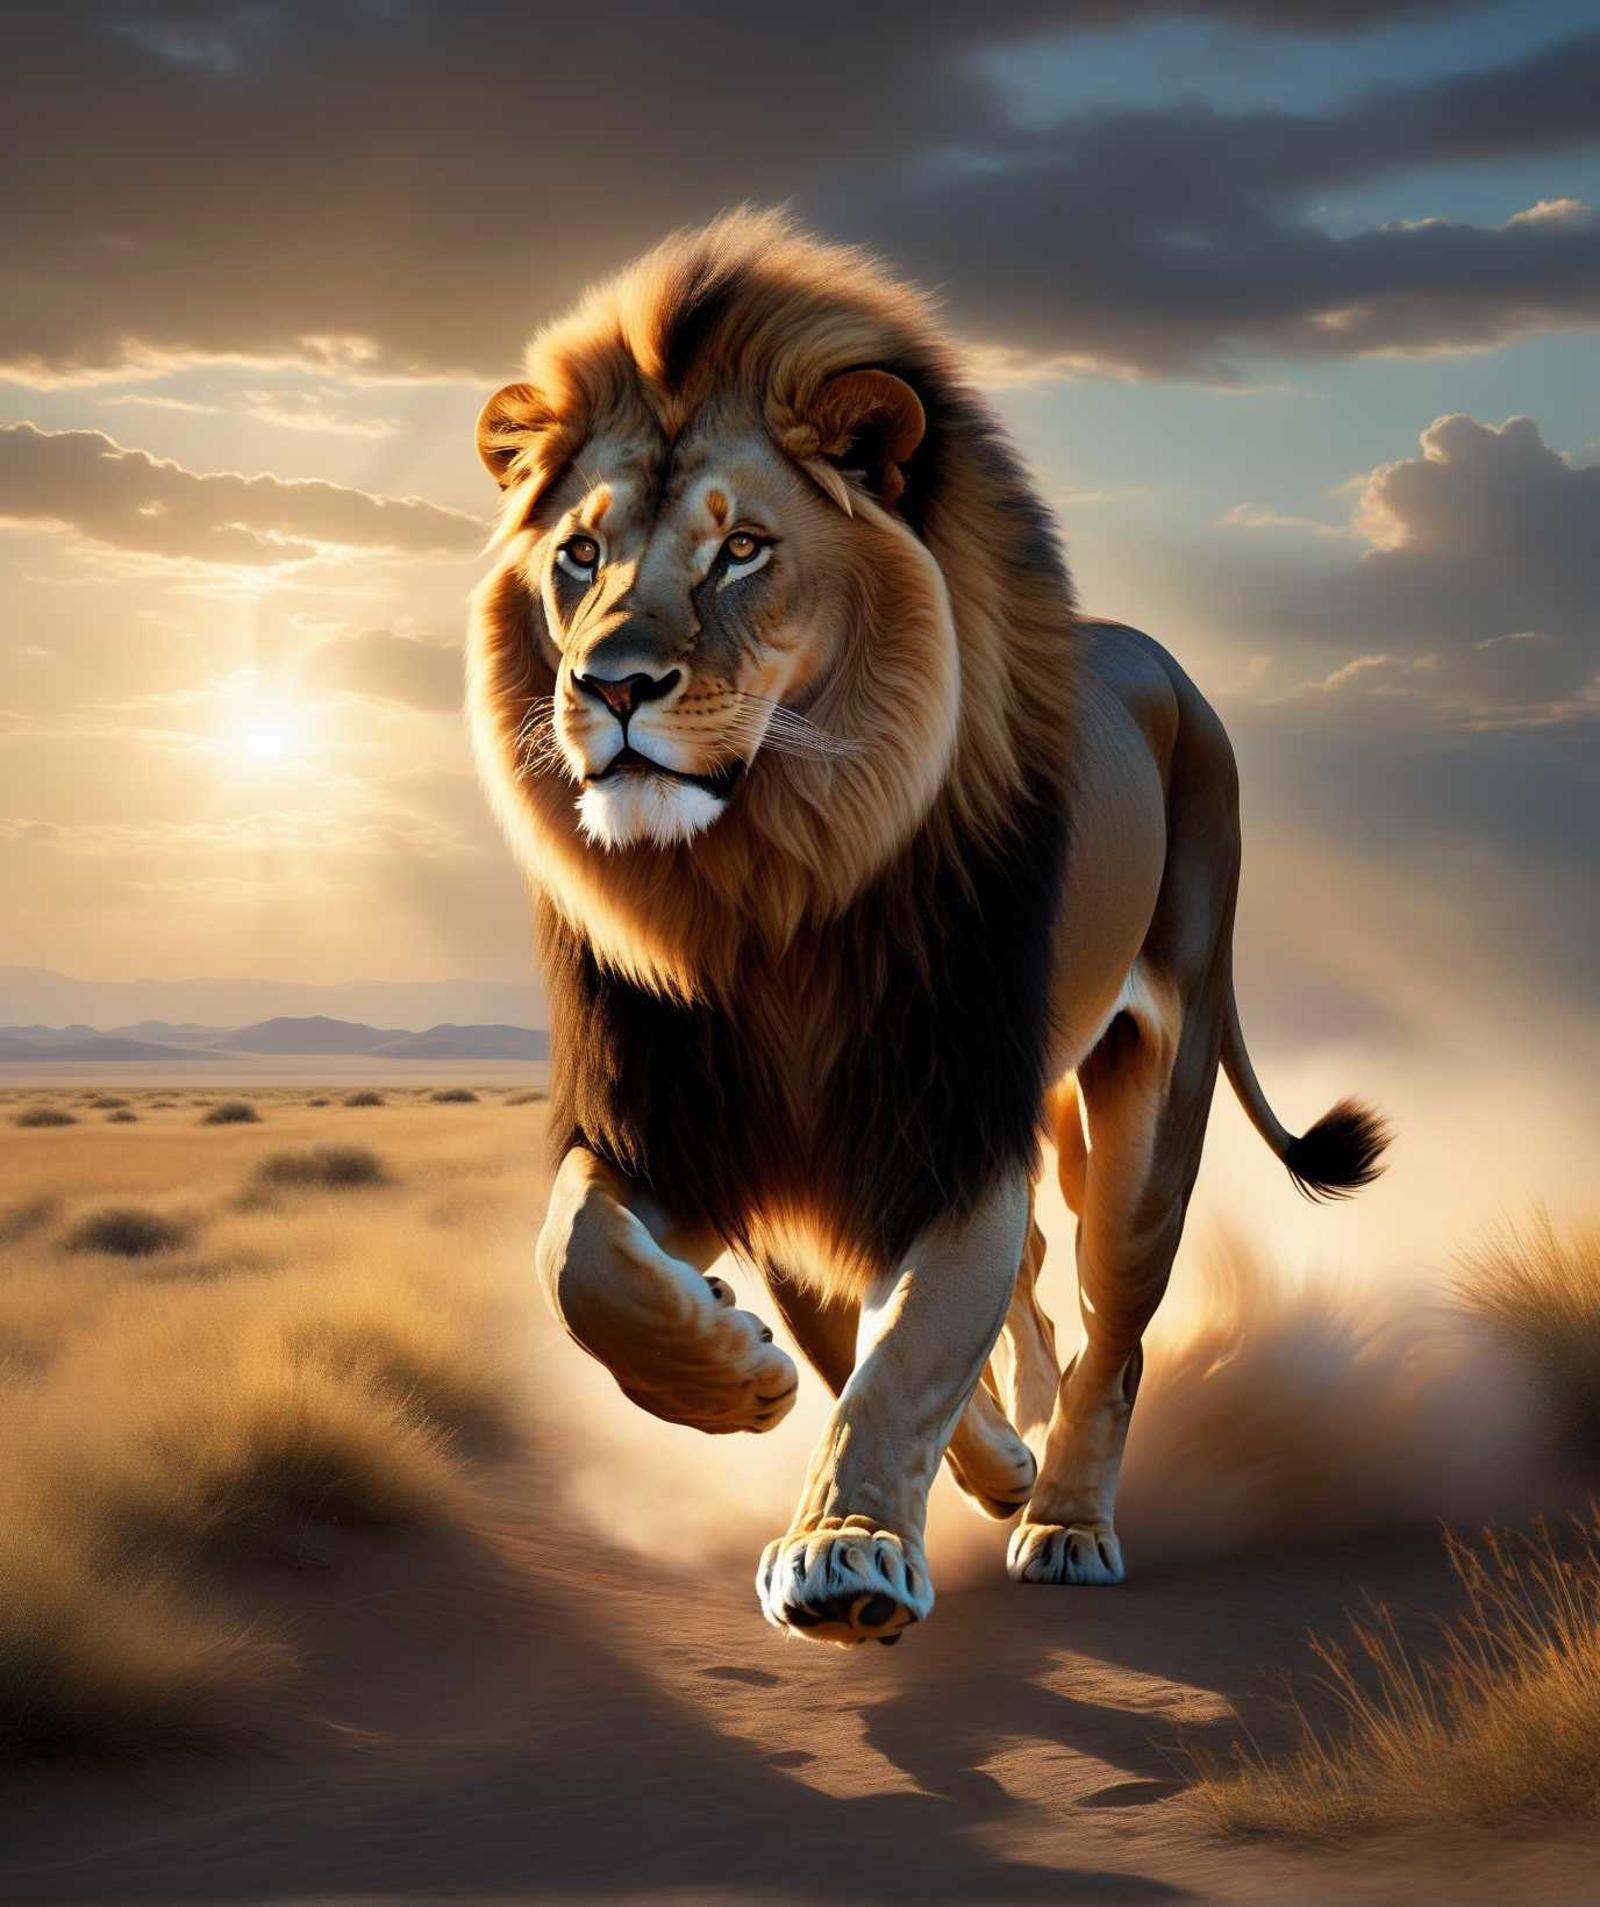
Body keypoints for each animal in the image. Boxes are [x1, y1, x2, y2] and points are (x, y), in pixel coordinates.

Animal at [467, 210, 1388, 1648]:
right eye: (580, 553)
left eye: (743, 548)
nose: (610, 684)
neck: (763, 889)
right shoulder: (691, 1126)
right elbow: (588, 1261)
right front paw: (738, 1370)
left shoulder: (949, 1123)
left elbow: (907, 1350)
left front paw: (846, 1546)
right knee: (1033, 1302)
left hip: (1149, 1093)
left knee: (1113, 1323)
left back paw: (1064, 1518)